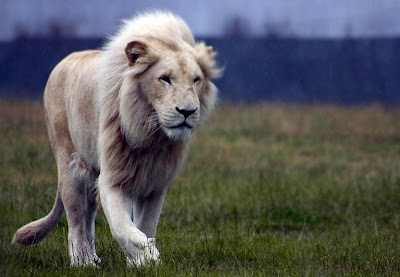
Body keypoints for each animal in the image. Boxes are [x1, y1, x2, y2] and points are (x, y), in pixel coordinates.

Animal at [11, 11, 222, 266]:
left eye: (196, 80)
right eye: (165, 79)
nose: (187, 111)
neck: (151, 135)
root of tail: (65, 60)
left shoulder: (155, 183)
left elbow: (147, 224)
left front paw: (142, 261)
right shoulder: (113, 178)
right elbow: (122, 226)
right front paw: (145, 251)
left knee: (88, 214)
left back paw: (93, 258)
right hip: (68, 162)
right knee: (76, 218)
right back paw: (82, 261)